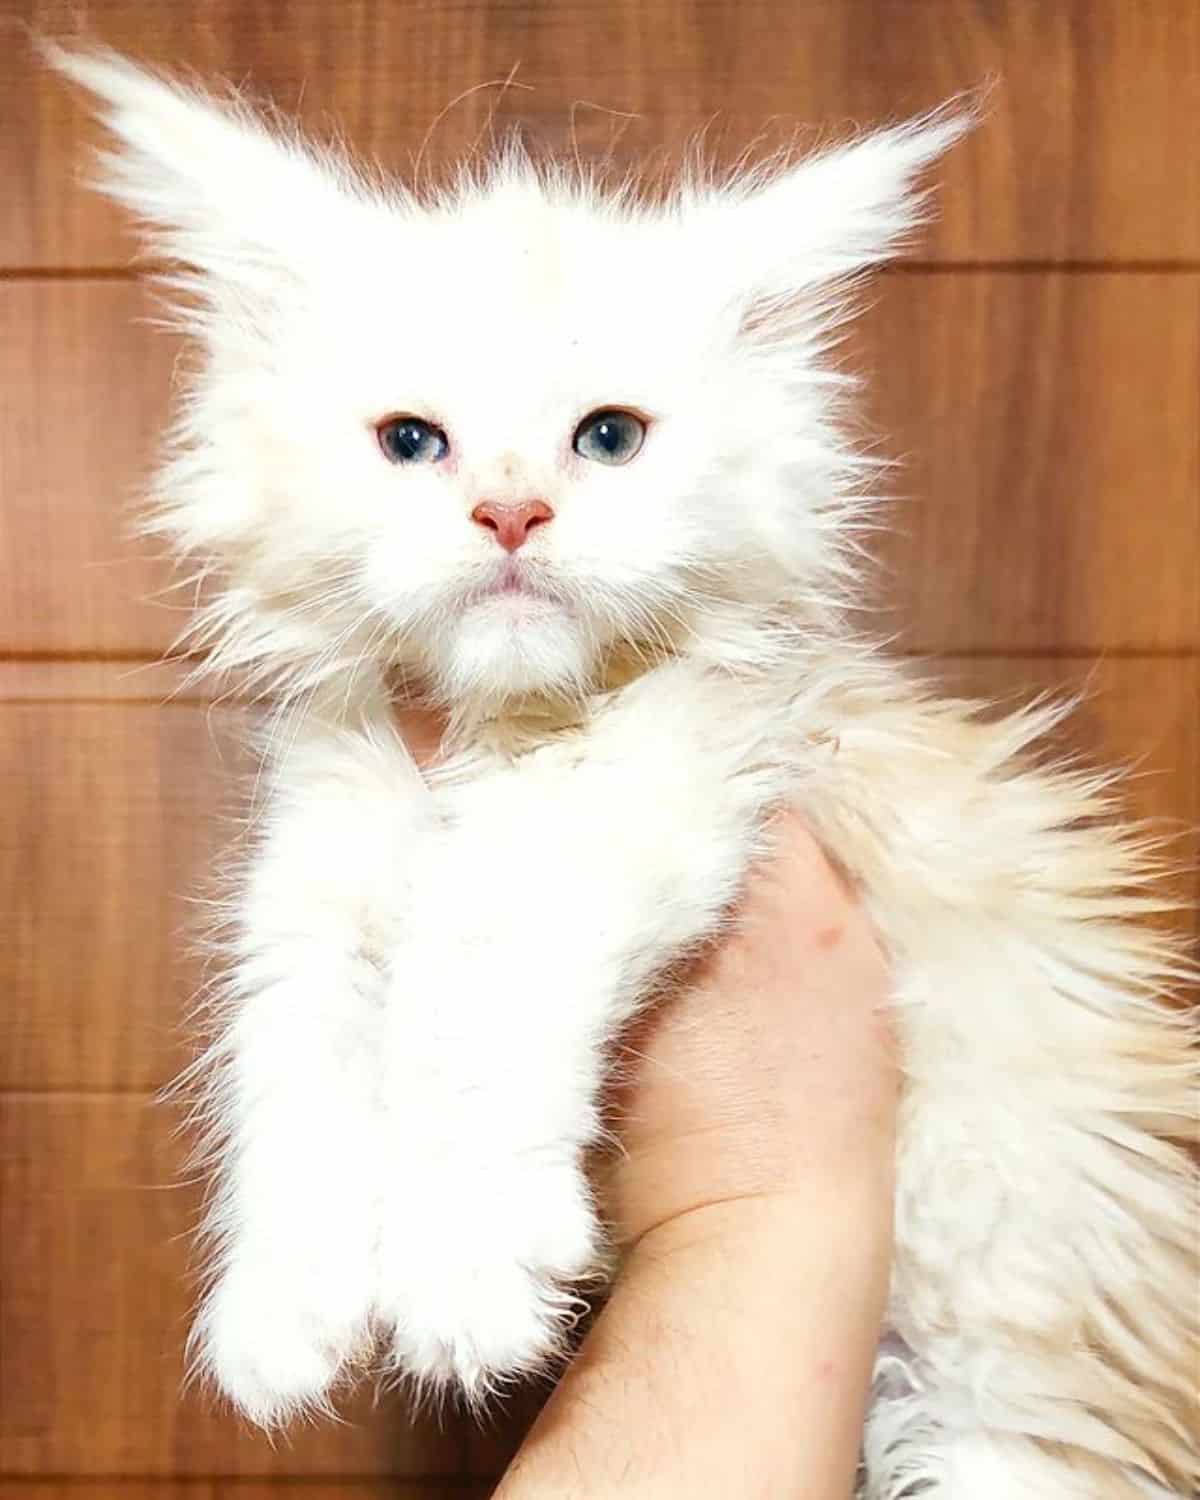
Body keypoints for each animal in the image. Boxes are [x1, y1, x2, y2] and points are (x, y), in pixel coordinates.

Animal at [51, 46, 1194, 1500]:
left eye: (607, 439)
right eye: (411, 443)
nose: (510, 511)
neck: (506, 728)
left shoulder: (664, 781)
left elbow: (469, 1010)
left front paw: (465, 1275)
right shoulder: (321, 872)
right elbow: (294, 1069)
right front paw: (280, 1315)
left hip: (1015, 1385)